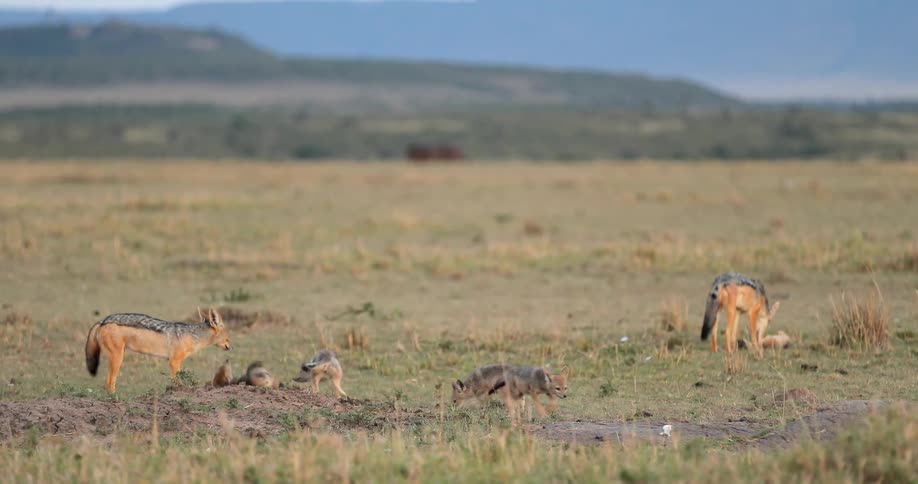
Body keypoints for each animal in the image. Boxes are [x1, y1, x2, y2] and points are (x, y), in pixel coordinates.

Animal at [85, 307, 231, 393]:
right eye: (227, 335)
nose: (231, 346)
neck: (193, 336)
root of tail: (102, 320)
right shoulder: (174, 362)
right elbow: (177, 381)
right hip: (117, 359)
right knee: (109, 383)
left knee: (107, 383)